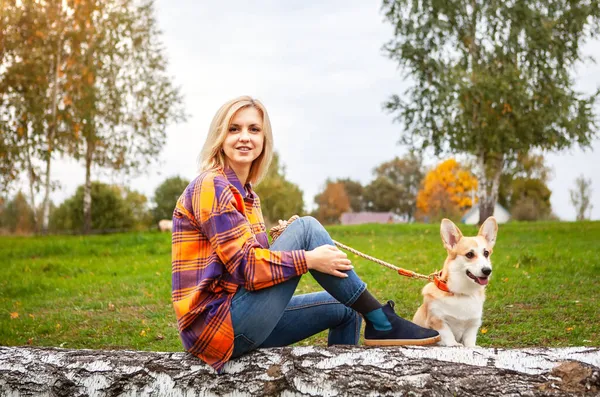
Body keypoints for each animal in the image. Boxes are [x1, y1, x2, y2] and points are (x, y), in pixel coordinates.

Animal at [412, 215, 496, 344]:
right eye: (469, 254)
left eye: (486, 253)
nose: (487, 271)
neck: (462, 293)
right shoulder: (437, 320)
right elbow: (448, 335)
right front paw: (454, 344)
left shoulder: (473, 324)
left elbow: (470, 340)